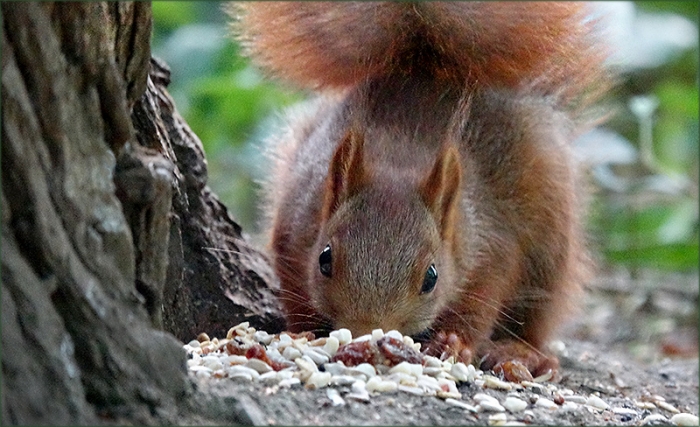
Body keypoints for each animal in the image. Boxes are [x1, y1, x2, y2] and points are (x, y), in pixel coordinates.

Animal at [231, 2, 610, 377]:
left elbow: (479, 306)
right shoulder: (295, 228)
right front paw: (303, 332)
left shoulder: (492, 249)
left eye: (431, 278)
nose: (366, 332)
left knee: (537, 320)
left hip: (551, 250)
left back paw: (521, 352)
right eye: (324, 260)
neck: (399, 160)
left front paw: (453, 343)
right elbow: (296, 293)